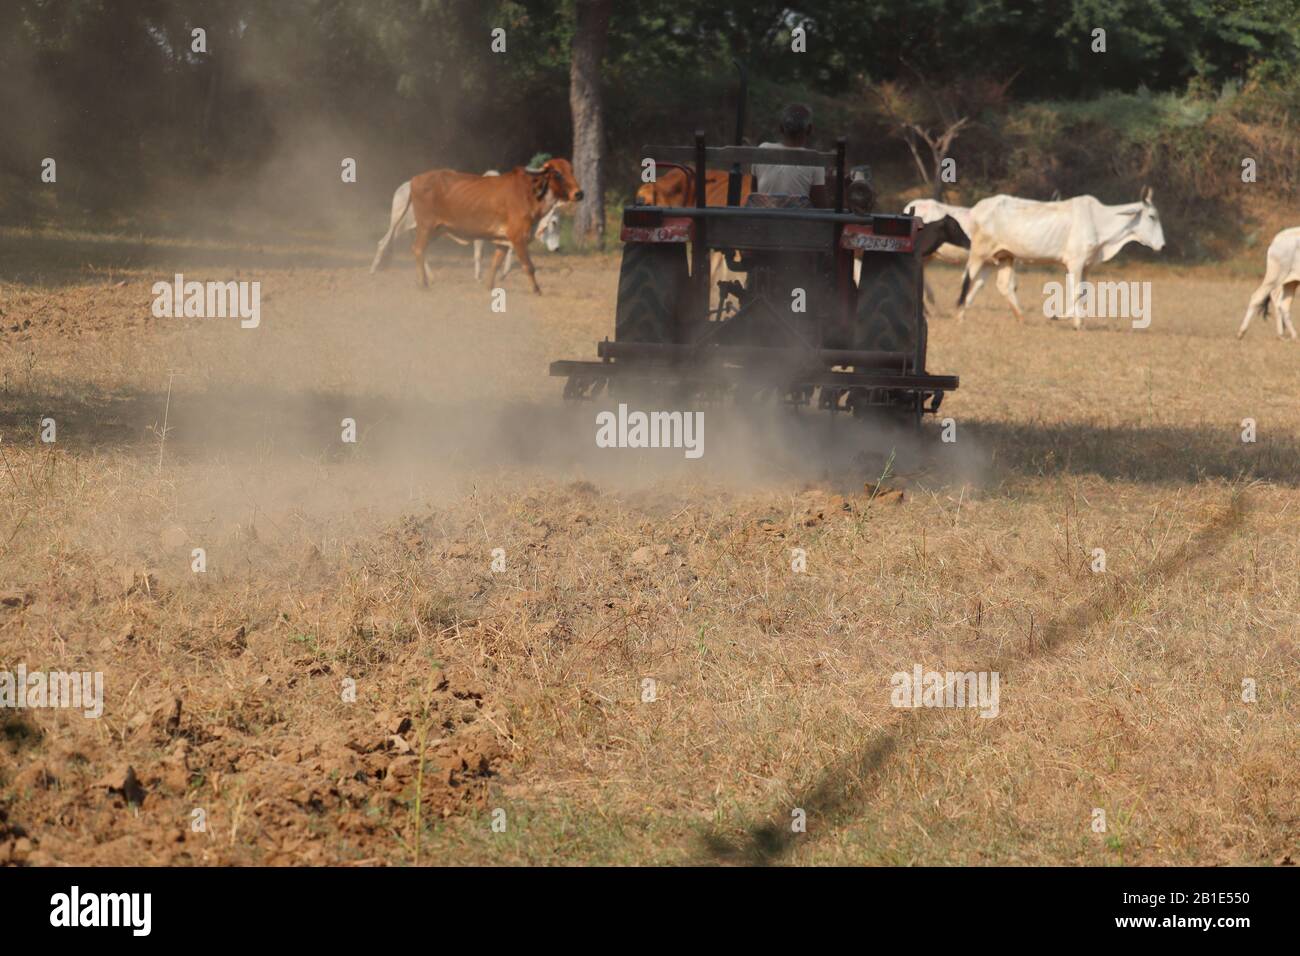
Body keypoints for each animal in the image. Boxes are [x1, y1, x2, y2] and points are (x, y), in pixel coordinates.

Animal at [371, 171, 564, 278]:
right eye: (554, 222)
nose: (557, 248)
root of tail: (404, 186)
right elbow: (479, 254)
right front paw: (479, 276)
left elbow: (509, 252)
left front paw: (504, 273)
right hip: (401, 225)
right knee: (383, 242)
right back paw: (372, 271)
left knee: (418, 249)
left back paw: (430, 276)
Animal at [405, 157, 579, 293]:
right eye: (557, 173)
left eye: (571, 170)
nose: (579, 193)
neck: (529, 194)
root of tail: (414, 179)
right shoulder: (518, 238)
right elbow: (528, 266)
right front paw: (537, 291)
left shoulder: (503, 241)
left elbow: (495, 264)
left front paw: (489, 286)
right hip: (426, 227)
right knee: (418, 249)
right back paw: (423, 284)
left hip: (437, 230)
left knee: (419, 250)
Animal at [956, 188, 1170, 330]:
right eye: (1152, 216)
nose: (1163, 246)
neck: (1098, 221)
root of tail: (976, 209)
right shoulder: (1075, 263)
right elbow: (1076, 292)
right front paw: (1063, 318)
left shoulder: (1086, 266)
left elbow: (1083, 293)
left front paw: (1079, 322)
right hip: (979, 253)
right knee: (967, 279)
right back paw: (959, 313)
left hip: (1001, 257)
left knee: (993, 284)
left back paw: (1018, 318)